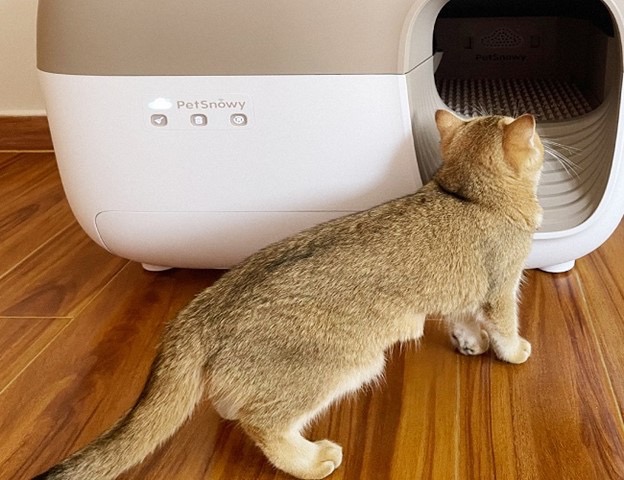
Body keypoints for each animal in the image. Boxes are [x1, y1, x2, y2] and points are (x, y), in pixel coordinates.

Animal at [34, 109, 544, 480]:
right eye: (537, 142)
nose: (544, 139)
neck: (469, 195)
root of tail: (198, 314)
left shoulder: (465, 293)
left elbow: (464, 320)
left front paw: (470, 343)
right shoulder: (502, 286)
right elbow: (504, 325)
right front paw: (514, 351)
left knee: (232, 404)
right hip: (345, 363)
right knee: (260, 421)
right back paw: (311, 461)